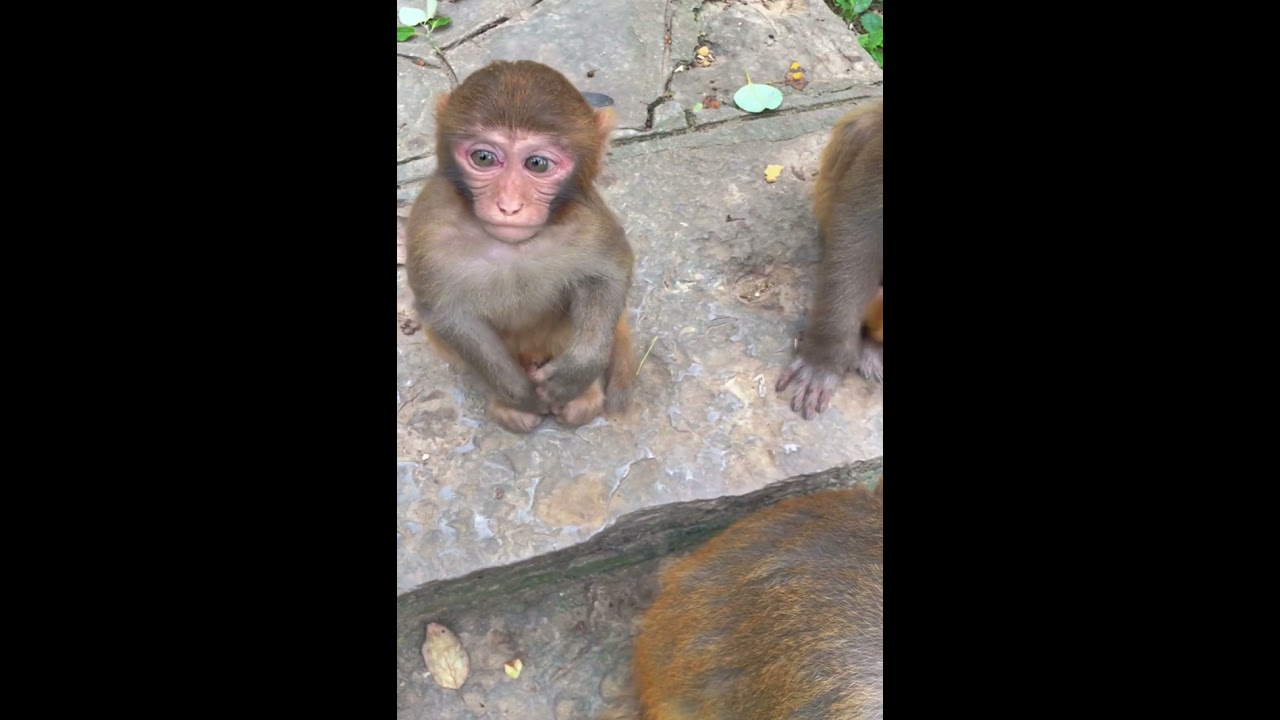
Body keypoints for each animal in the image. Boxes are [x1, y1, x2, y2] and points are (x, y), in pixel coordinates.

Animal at [403, 60, 636, 434]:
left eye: (537, 164)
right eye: (484, 158)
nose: (509, 206)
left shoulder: (586, 218)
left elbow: (609, 272)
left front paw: (576, 374)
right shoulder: (430, 225)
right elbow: (444, 311)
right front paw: (518, 394)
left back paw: (583, 396)